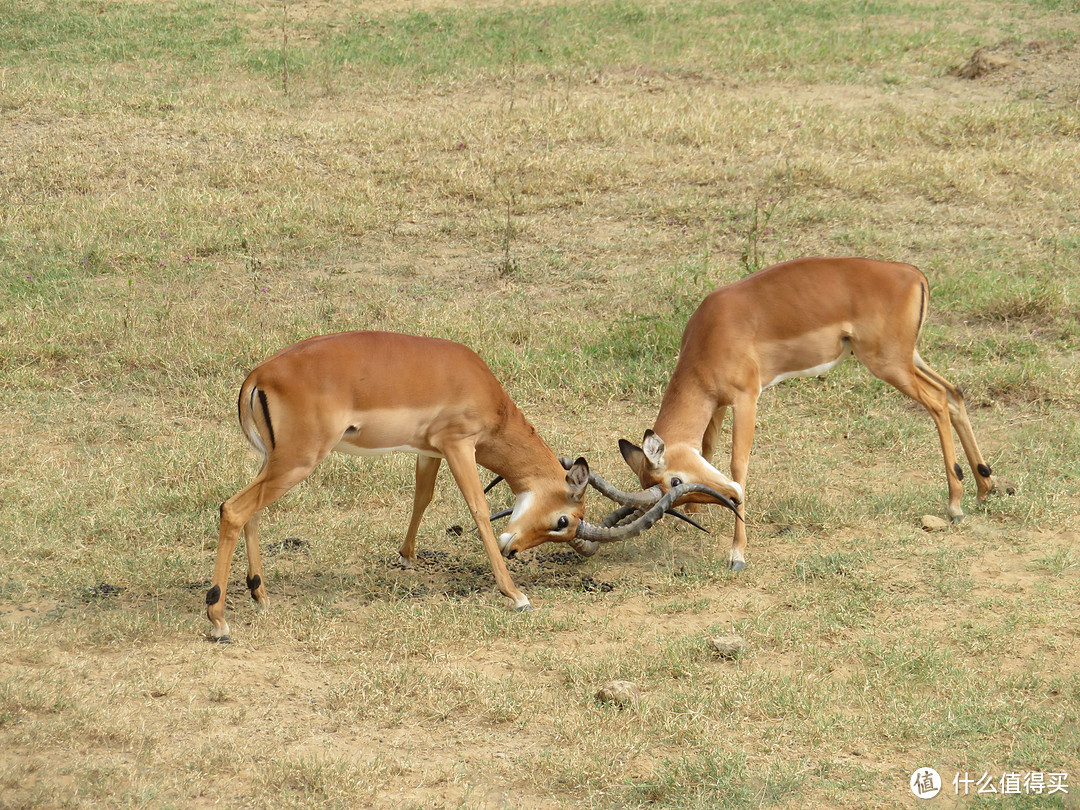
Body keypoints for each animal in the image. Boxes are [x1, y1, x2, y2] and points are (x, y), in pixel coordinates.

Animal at [205, 330, 734, 639]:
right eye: (564, 520)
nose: (514, 548)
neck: (482, 389)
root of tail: (259, 375)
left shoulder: (429, 450)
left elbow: (422, 497)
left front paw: (406, 559)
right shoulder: (459, 445)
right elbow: (478, 509)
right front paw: (516, 595)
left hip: (274, 460)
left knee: (248, 510)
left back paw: (260, 596)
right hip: (298, 461)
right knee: (233, 508)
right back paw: (219, 620)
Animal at [622, 258, 997, 570]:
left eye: (674, 481)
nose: (730, 498)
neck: (712, 331)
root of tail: (913, 274)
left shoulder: (746, 399)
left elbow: (738, 464)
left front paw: (737, 554)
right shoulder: (717, 402)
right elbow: (707, 447)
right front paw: (694, 513)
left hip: (890, 364)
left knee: (938, 400)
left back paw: (955, 505)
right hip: (908, 359)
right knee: (954, 393)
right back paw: (984, 487)